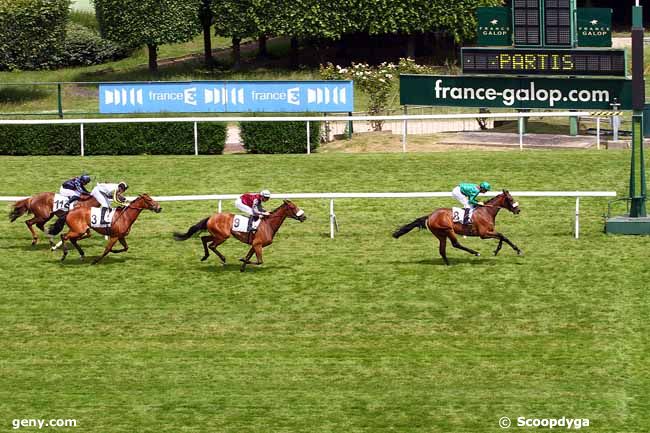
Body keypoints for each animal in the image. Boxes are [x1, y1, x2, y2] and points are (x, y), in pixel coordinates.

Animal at [175, 199, 306, 270]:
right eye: (293, 207)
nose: (304, 217)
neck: (268, 224)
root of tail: (211, 217)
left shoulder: (255, 245)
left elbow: (249, 257)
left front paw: (242, 267)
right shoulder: (257, 244)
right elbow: (259, 261)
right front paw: (242, 260)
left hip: (217, 234)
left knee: (203, 239)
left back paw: (205, 256)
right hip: (223, 236)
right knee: (212, 245)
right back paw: (223, 259)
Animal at [390, 191, 520, 264]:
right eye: (511, 199)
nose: (518, 210)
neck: (486, 211)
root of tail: (430, 216)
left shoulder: (489, 232)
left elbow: (503, 237)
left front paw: (501, 250)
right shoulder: (483, 234)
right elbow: (502, 236)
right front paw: (513, 250)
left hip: (441, 234)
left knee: (442, 250)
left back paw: (448, 264)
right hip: (448, 230)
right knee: (455, 244)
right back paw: (475, 253)